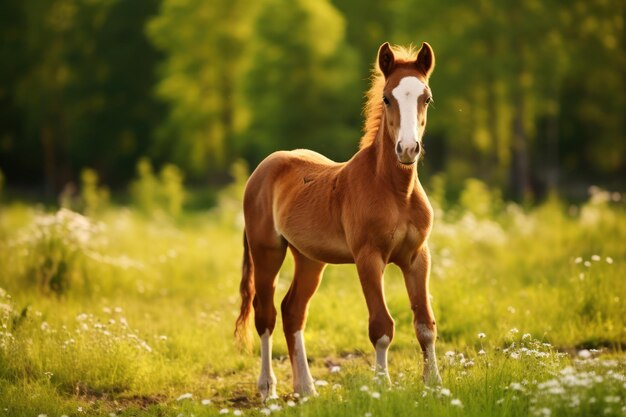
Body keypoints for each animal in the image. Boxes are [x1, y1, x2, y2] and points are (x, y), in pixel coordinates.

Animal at [236, 42, 442, 400]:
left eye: (425, 97)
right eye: (387, 97)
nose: (407, 149)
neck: (395, 191)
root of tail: (262, 169)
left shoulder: (417, 257)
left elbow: (425, 325)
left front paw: (435, 386)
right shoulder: (369, 258)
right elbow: (381, 326)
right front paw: (381, 386)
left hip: (309, 260)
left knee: (293, 312)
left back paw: (306, 389)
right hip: (267, 253)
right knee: (266, 315)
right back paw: (268, 389)